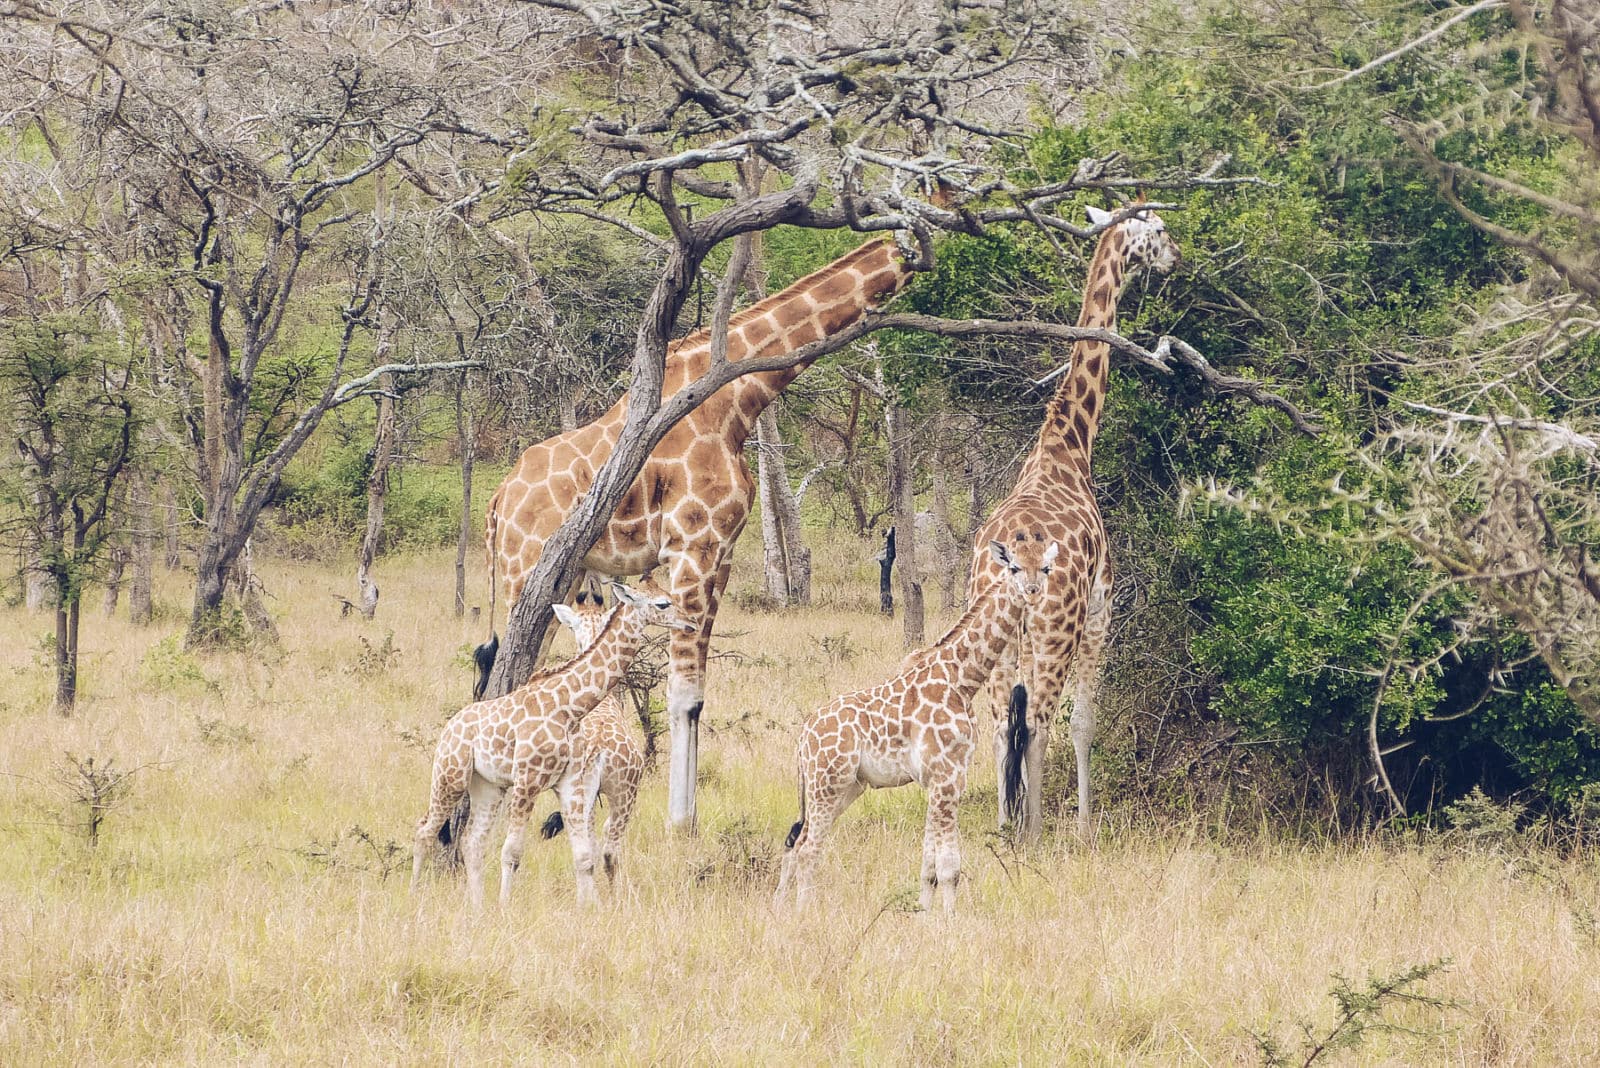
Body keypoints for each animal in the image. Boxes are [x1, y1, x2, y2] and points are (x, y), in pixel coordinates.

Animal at [480, 235, 921, 831]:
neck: (737, 401)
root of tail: (498, 500)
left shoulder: (723, 552)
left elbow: (699, 694)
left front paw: (685, 819)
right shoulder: (693, 545)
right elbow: (682, 692)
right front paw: (677, 824)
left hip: (559, 576)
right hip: (523, 570)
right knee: (505, 671)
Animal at [771, 537, 1056, 914]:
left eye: (1046, 568)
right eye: (1014, 567)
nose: (1033, 591)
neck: (963, 679)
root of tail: (802, 738)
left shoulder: (939, 779)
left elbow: (928, 864)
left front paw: (924, 913)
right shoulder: (948, 775)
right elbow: (949, 866)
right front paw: (950, 918)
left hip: (845, 787)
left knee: (794, 842)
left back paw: (779, 907)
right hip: (827, 783)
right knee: (807, 848)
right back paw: (804, 912)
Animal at [966, 202, 1184, 844]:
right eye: (1158, 230)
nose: (1176, 258)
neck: (1069, 445)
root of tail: (1005, 566)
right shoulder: (1100, 611)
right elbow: (1085, 722)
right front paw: (1086, 826)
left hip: (999, 640)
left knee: (999, 725)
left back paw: (1003, 828)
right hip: (1055, 634)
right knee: (1037, 723)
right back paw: (1034, 834)